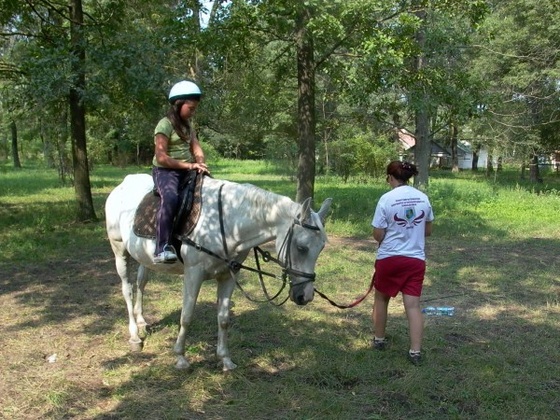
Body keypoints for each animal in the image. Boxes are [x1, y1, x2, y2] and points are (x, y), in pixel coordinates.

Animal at [105, 174, 332, 370]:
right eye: (301, 247)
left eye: (321, 247)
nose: (305, 296)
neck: (229, 222)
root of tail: (123, 184)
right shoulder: (193, 274)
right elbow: (186, 316)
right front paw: (180, 357)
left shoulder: (229, 276)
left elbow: (223, 318)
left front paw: (225, 360)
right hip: (119, 250)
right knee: (127, 289)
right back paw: (135, 336)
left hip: (144, 257)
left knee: (141, 282)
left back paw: (142, 321)